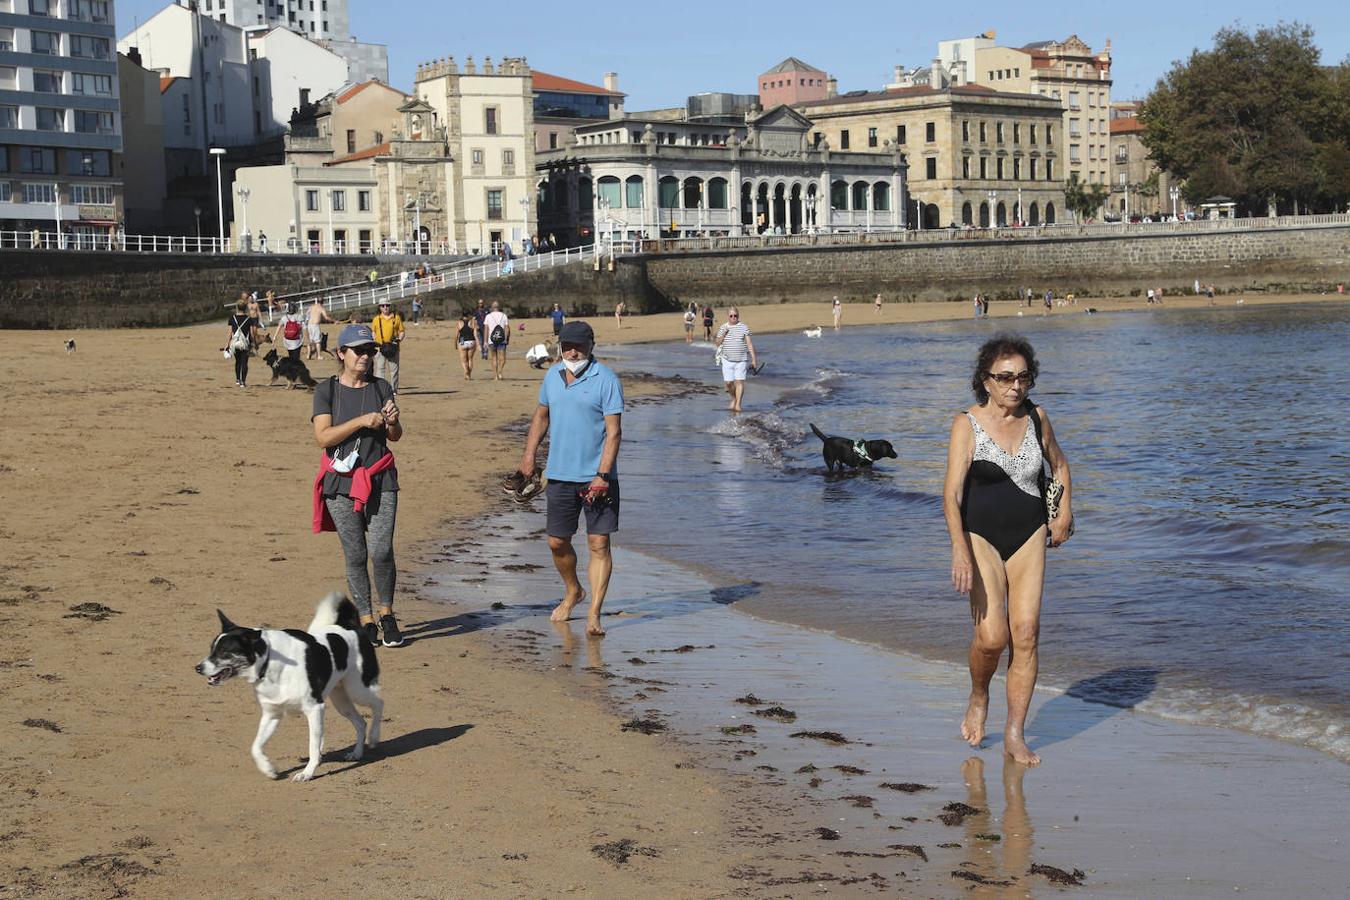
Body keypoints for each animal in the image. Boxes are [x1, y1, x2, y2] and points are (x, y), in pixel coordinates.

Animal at [190, 591, 383, 782]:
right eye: (211, 650)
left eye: (223, 652)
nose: (198, 668)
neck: (268, 661)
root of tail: (352, 627)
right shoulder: (272, 714)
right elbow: (255, 746)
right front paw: (268, 769)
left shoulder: (314, 708)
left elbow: (312, 746)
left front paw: (307, 773)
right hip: (340, 699)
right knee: (360, 723)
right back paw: (357, 753)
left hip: (357, 689)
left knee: (378, 703)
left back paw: (374, 737)